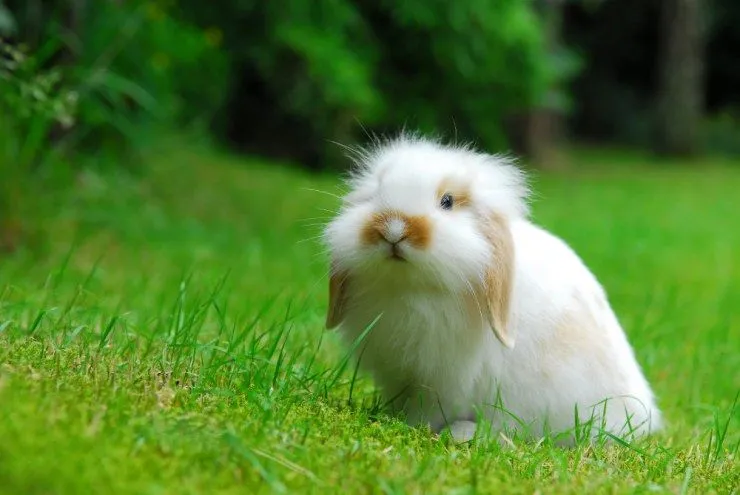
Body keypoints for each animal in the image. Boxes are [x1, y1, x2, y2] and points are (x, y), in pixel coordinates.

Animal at [322, 133, 662, 445]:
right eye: (378, 192)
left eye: (447, 201)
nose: (394, 229)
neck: (410, 287)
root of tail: (643, 416)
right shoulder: (399, 374)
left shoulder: (443, 381)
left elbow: (428, 409)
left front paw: (412, 427)